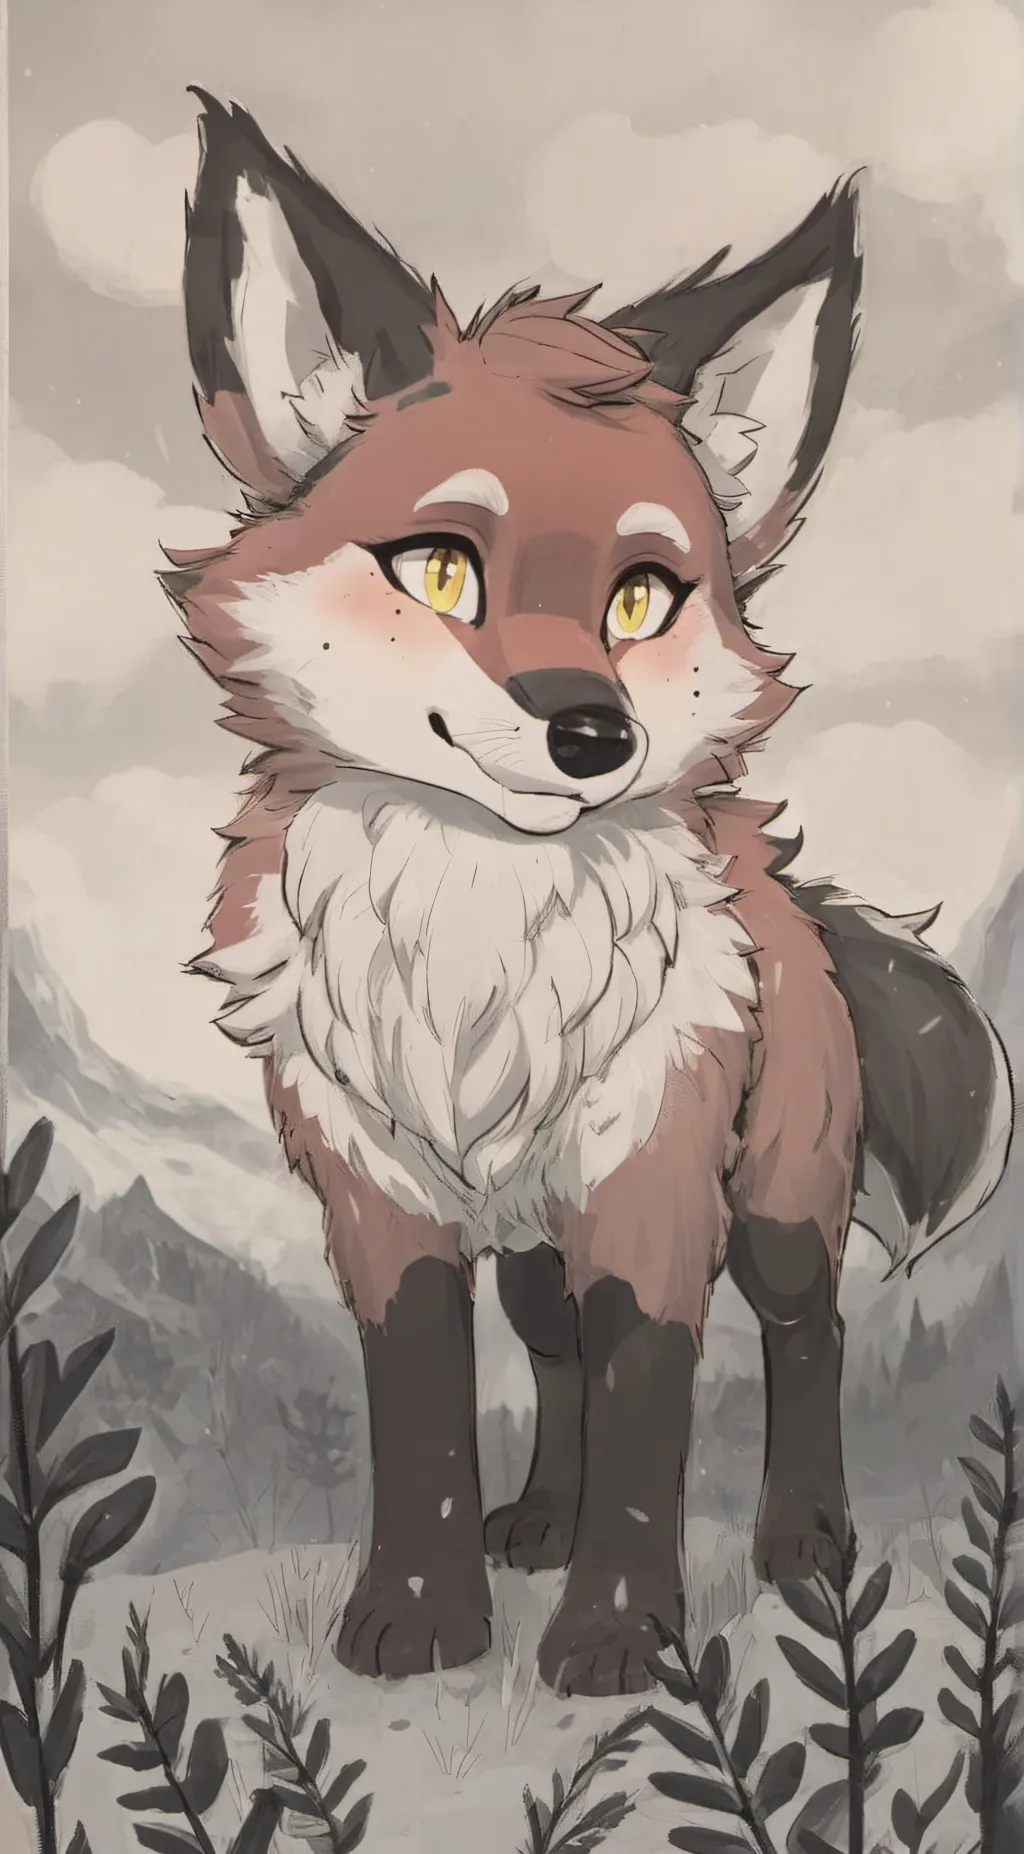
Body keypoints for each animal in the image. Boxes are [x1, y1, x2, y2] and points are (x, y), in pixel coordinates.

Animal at [163, 92, 1014, 1699]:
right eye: (441, 570)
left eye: (639, 598)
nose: (593, 733)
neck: (475, 952)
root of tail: (784, 886)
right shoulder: (382, 1204)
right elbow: (425, 1416)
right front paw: (421, 1616)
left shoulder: (653, 1181)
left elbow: (648, 1408)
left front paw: (622, 1635)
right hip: (531, 1246)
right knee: (552, 1355)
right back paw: (537, 1523)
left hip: (779, 1201)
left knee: (806, 1334)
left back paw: (805, 1540)